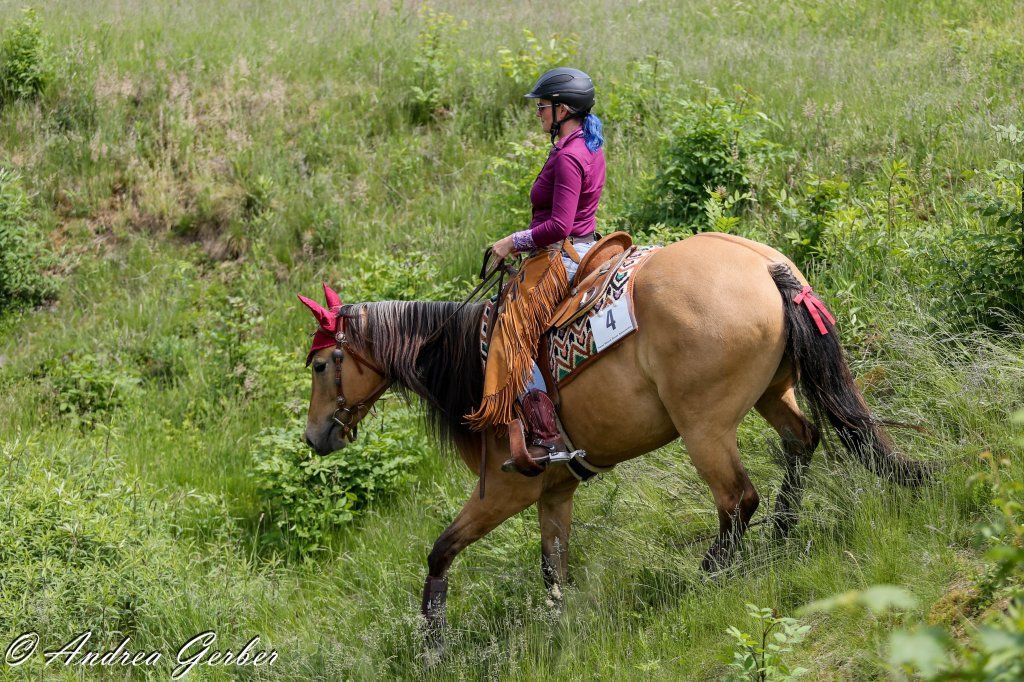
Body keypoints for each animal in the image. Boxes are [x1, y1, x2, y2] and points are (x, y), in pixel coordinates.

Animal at [299, 232, 930, 639]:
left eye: (321, 365)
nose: (313, 439)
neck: (467, 368)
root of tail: (766, 267)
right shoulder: (554, 492)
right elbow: (553, 569)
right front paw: (558, 630)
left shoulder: (504, 492)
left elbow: (441, 551)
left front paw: (432, 641)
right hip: (774, 392)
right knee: (803, 441)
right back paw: (784, 529)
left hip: (703, 426)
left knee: (736, 499)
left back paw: (708, 573)